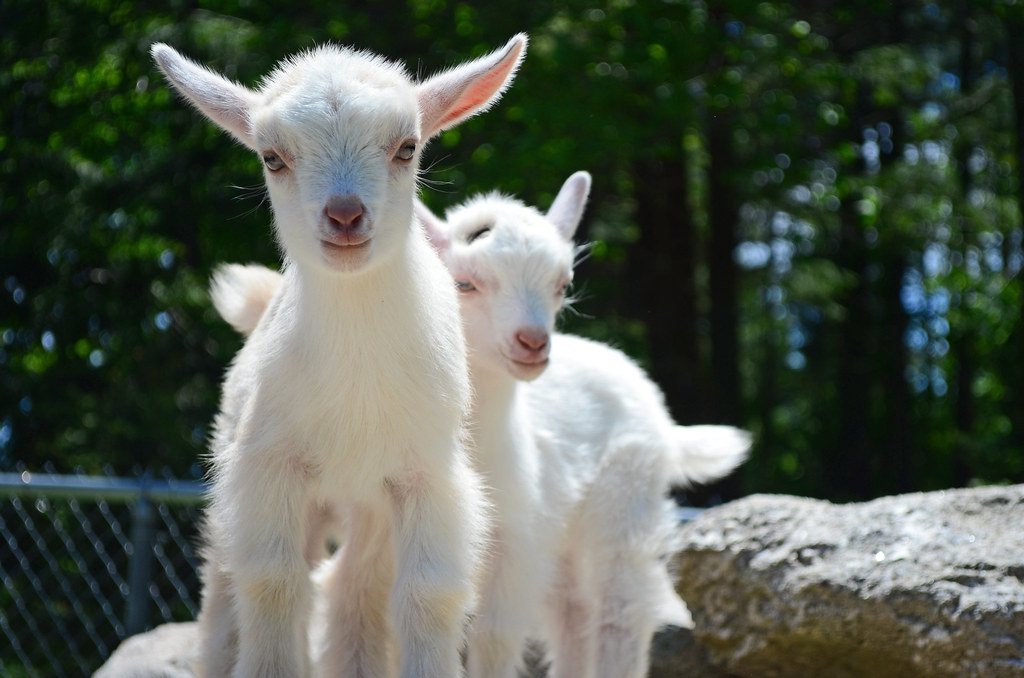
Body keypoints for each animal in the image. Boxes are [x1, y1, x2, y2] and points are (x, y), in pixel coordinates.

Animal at [152, 34, 526, 678]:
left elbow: (427, 593)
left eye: (408, 147)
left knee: (354, 587)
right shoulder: (269, 462)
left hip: (368, 503)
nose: (346, 215)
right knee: (229, 587)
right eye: (272, 157)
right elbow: (272, 582)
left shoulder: (426, 473)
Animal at [212, 172, 750, 678]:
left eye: (562, 284)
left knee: (615, 608)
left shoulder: (511, 533)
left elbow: (493, 632)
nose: (533, 343)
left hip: (622, 503)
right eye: (465, 283)